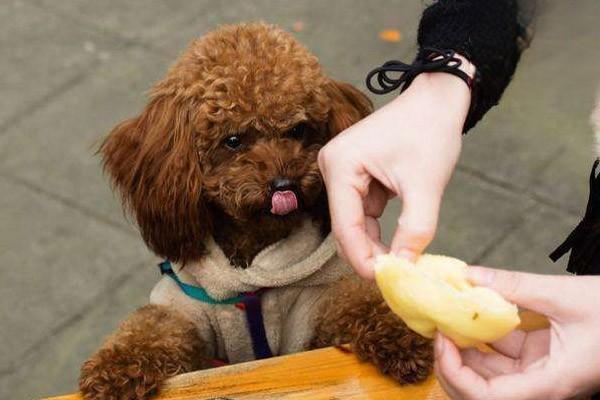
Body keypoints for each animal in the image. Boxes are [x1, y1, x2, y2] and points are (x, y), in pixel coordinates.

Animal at [79, 23, 432, 398]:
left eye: (298, 129)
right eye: (233, 140)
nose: (284, 185)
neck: (252, 270)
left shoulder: (312, 311)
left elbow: (356, 300)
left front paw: (402, 334)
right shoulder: (186, 309)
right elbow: (151, 325)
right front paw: (116, 371)